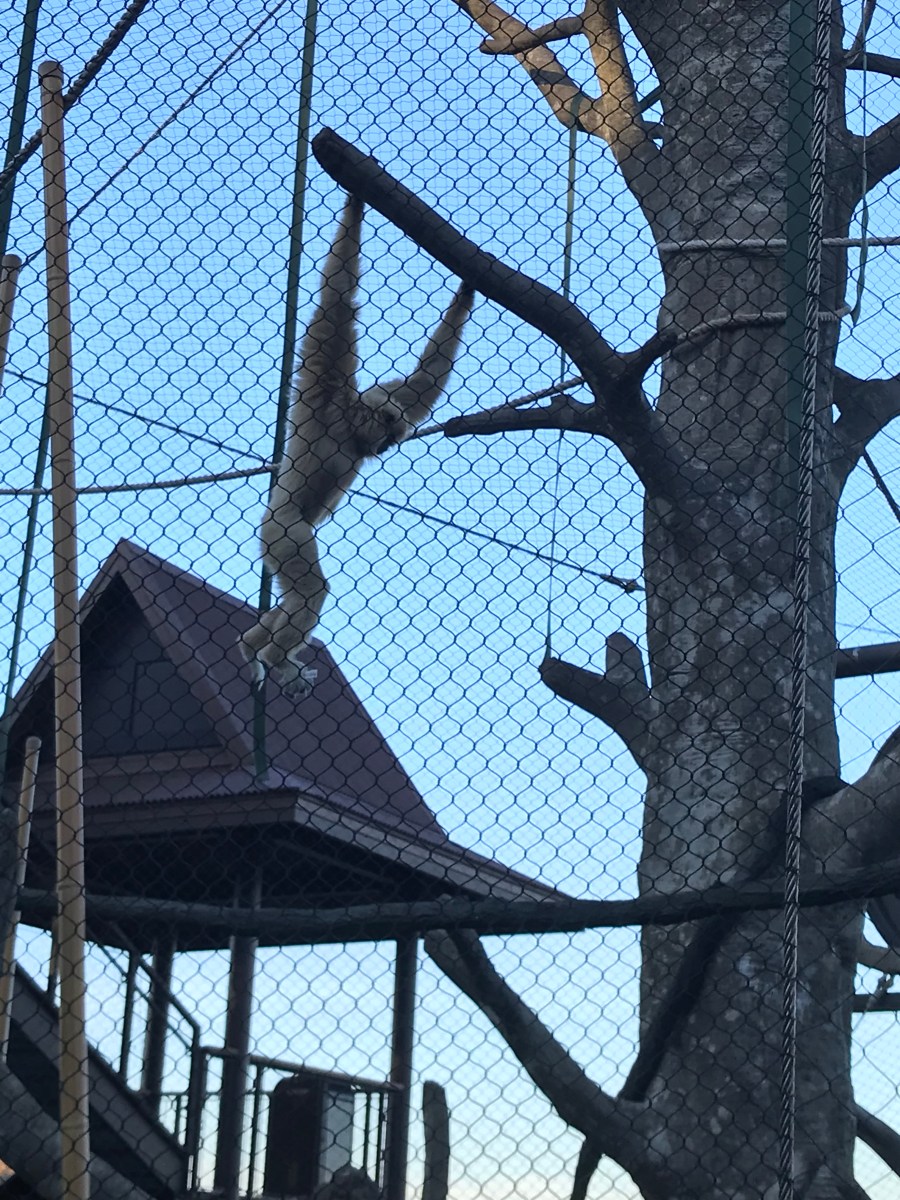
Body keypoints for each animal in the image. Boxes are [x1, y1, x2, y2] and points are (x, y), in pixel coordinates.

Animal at [240, 194, 474, 692]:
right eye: (386, 432)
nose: (384, 447)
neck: (347, 426)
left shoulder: (388, 391)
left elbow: (423, 383)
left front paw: (465, 293)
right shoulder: (326, 388)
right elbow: (338, 303)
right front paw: (356, 204)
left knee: (291, 600)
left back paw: (252, 647)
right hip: (284, 533)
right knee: (309, 591)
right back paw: (276, 658)